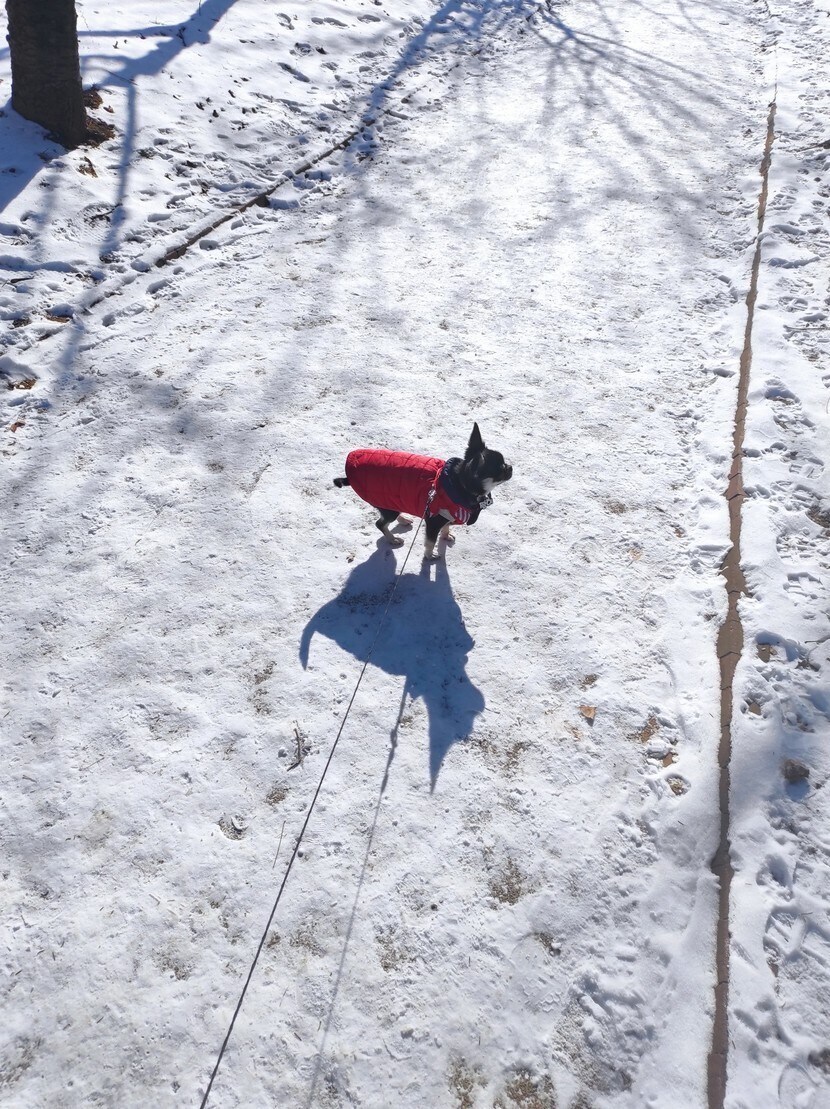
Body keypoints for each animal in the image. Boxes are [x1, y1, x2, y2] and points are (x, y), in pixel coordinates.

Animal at [333, 423, 512, 559]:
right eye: (501, 469)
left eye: (505, 463)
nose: (511, 467)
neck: (459, 484)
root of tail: (349, 476)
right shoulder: (433, 521)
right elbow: (430, 542)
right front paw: (429, 556)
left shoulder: (446, 516)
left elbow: (446, 527)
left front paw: (445, 536)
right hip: (387, 507)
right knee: (380, 523)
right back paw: (393, 539)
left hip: (391, 503)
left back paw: (403, 519)